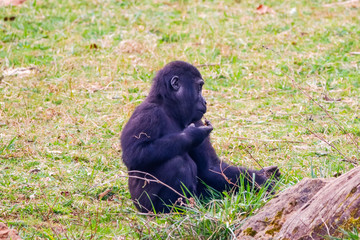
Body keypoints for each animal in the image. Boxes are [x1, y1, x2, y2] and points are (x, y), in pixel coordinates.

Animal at [120, 61, 278, 213]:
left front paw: (263, 181)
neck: (169, 107)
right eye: (199, 87)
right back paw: (172, 210)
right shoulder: (148, 113)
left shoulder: (197, 119)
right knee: (177, 164)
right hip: (142, 205)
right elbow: (135, 154)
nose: (205, 101)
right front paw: (191, 134)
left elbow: (211, 167)